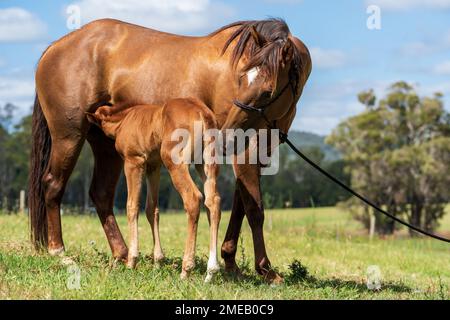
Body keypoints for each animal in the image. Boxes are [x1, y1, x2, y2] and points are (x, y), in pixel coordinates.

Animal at [86, 97, 221, 280]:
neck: (124, 120)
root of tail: (202, 113)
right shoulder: (153, 165)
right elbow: (152, 209)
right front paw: (158, 262)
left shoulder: (134, 161)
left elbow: (132, 206)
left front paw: (132, 261)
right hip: (205, 163)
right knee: (213, 201)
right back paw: (211, 271)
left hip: (175, 162)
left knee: (193, 199)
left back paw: (186, 269)